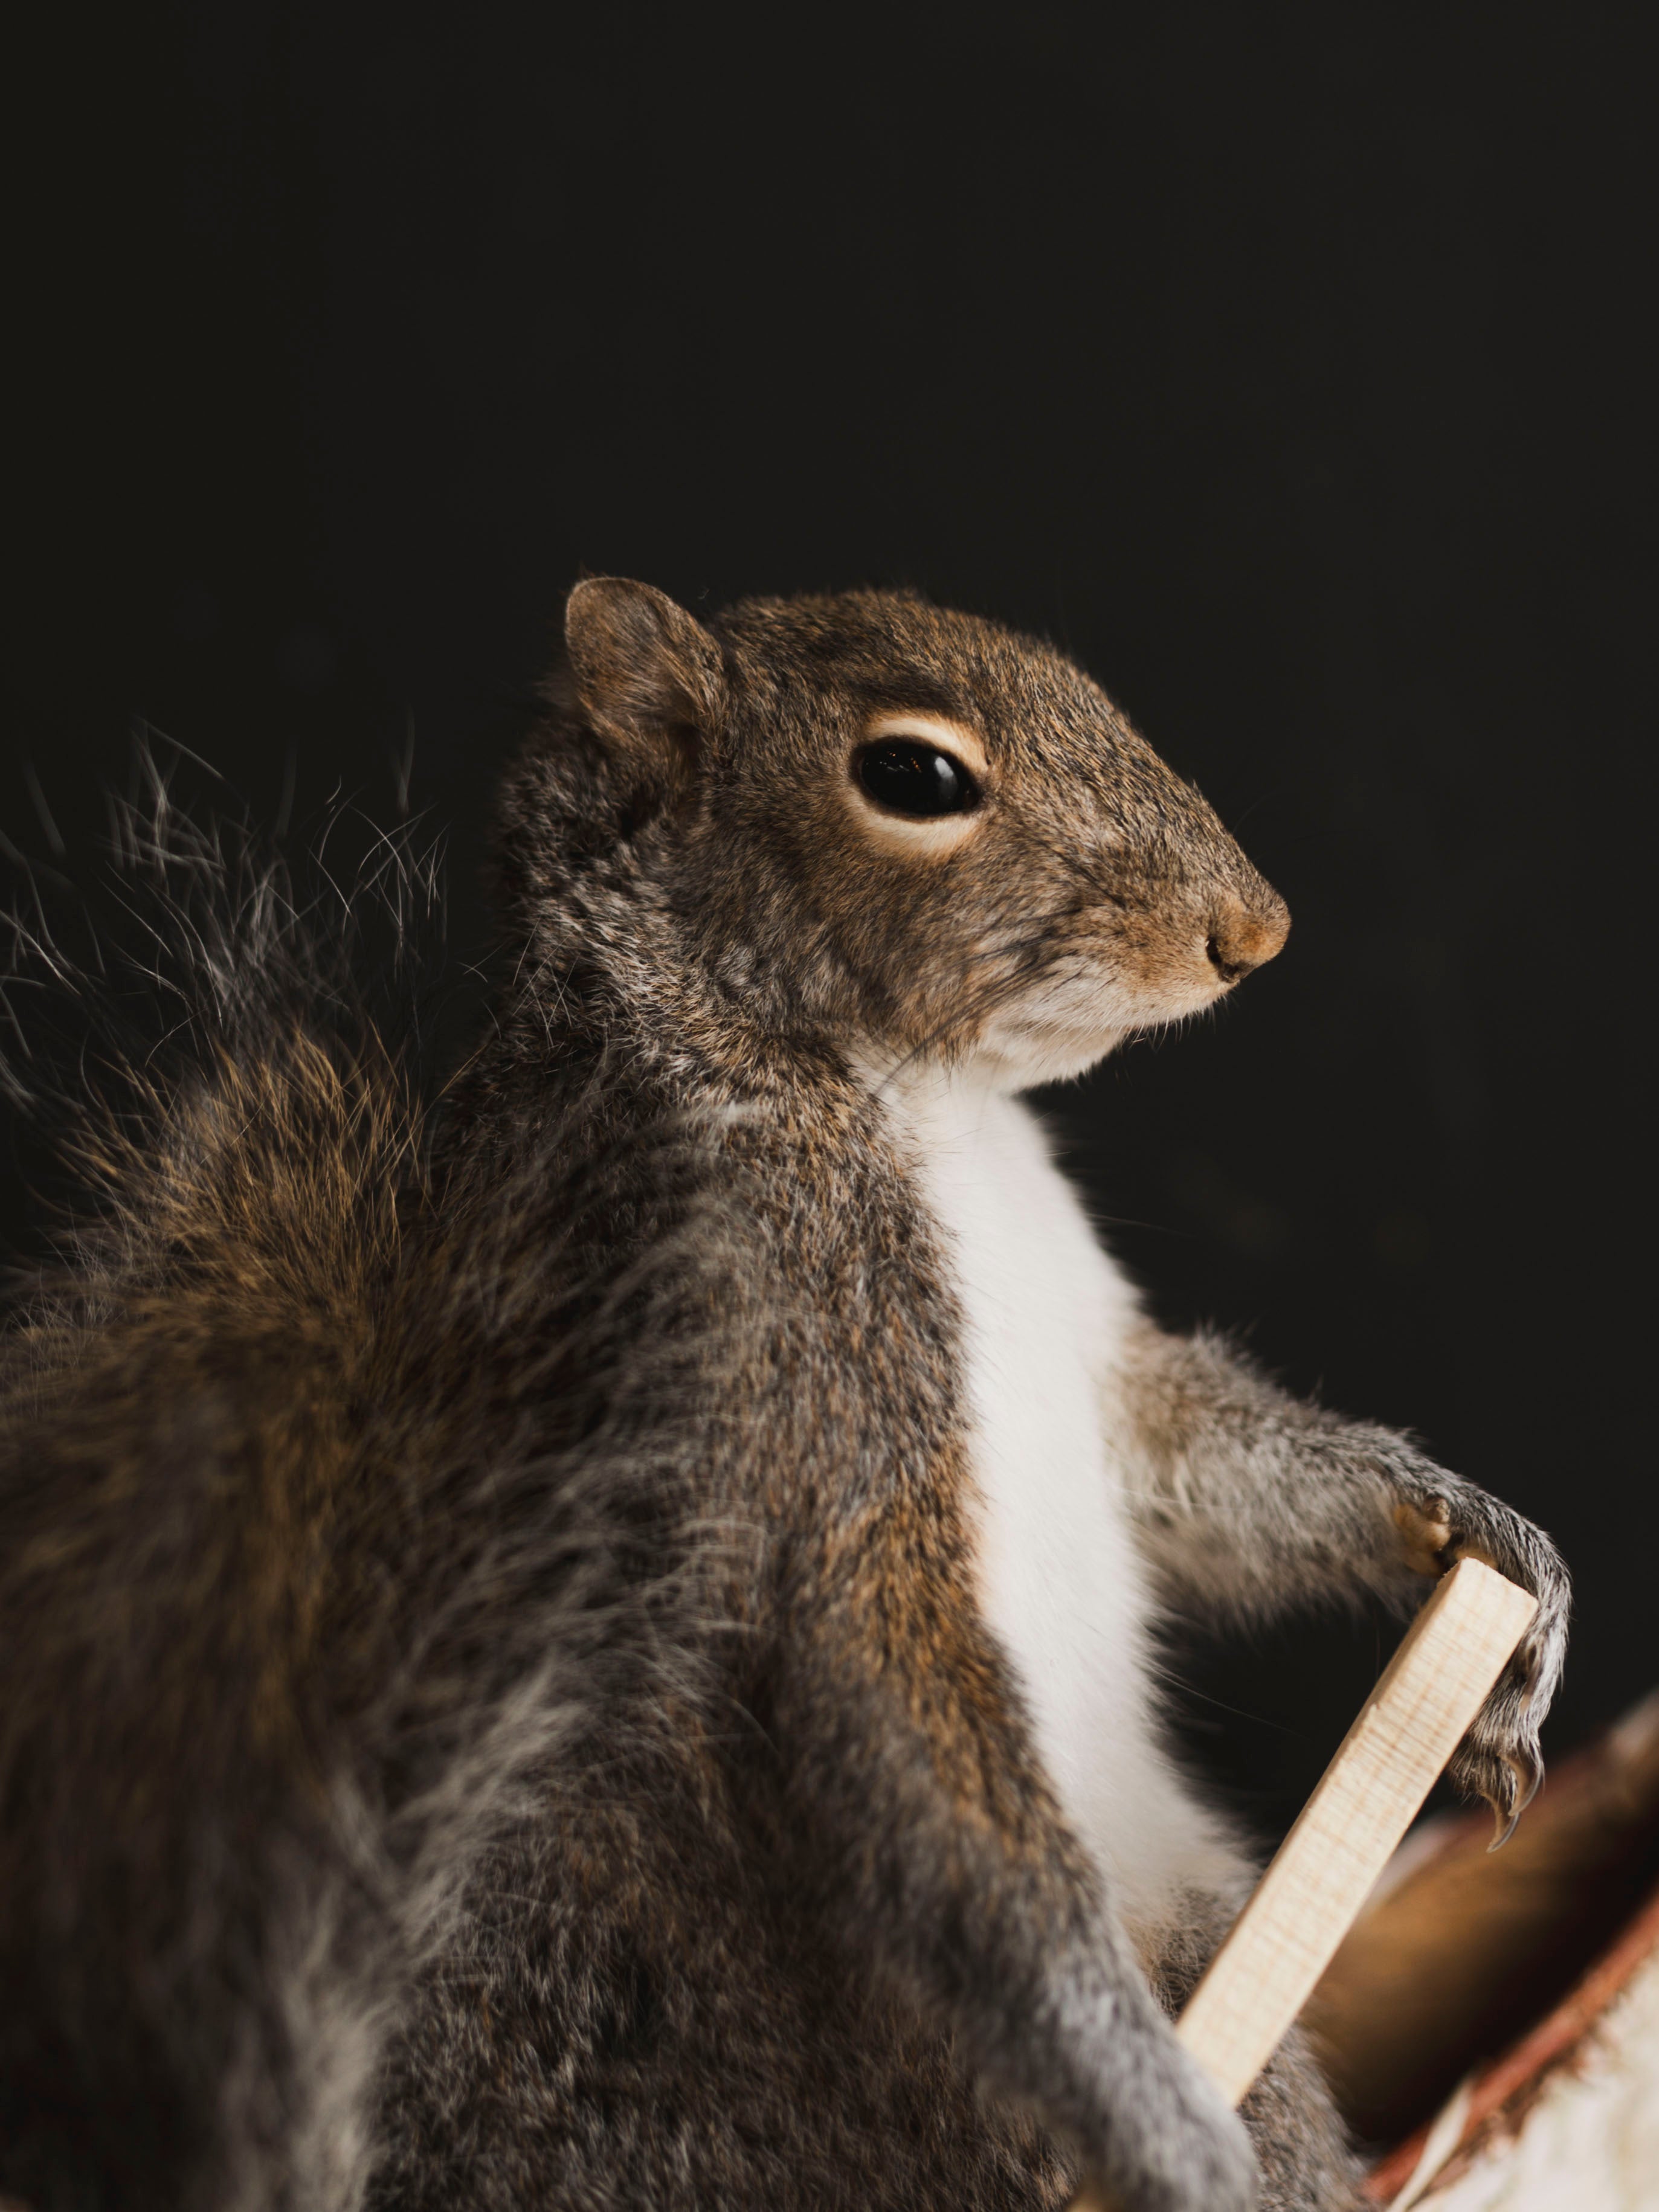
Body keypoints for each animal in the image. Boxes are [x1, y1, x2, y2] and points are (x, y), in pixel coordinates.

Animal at [0, 580, 1569, 2212]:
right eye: (915, 776)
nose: (1251, 931)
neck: (914, 1095)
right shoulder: (791, 1357)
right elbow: (896, 1705)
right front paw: (1156, 2122)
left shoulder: (1098, 1373)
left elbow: (1192, 1454)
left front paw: (1490, 1550)